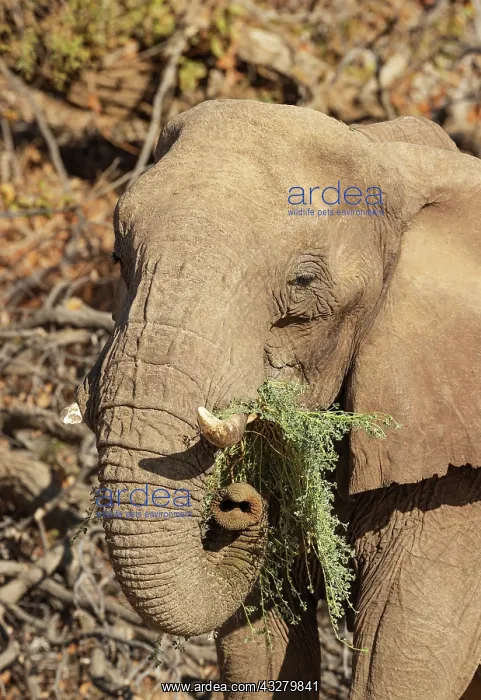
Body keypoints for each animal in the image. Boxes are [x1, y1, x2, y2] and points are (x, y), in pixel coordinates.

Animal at [63, 99, 481, 700]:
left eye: (304, 283)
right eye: (119, 258)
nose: (236, 500)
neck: (395, 165)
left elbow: (408, 647)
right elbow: (256, 641)